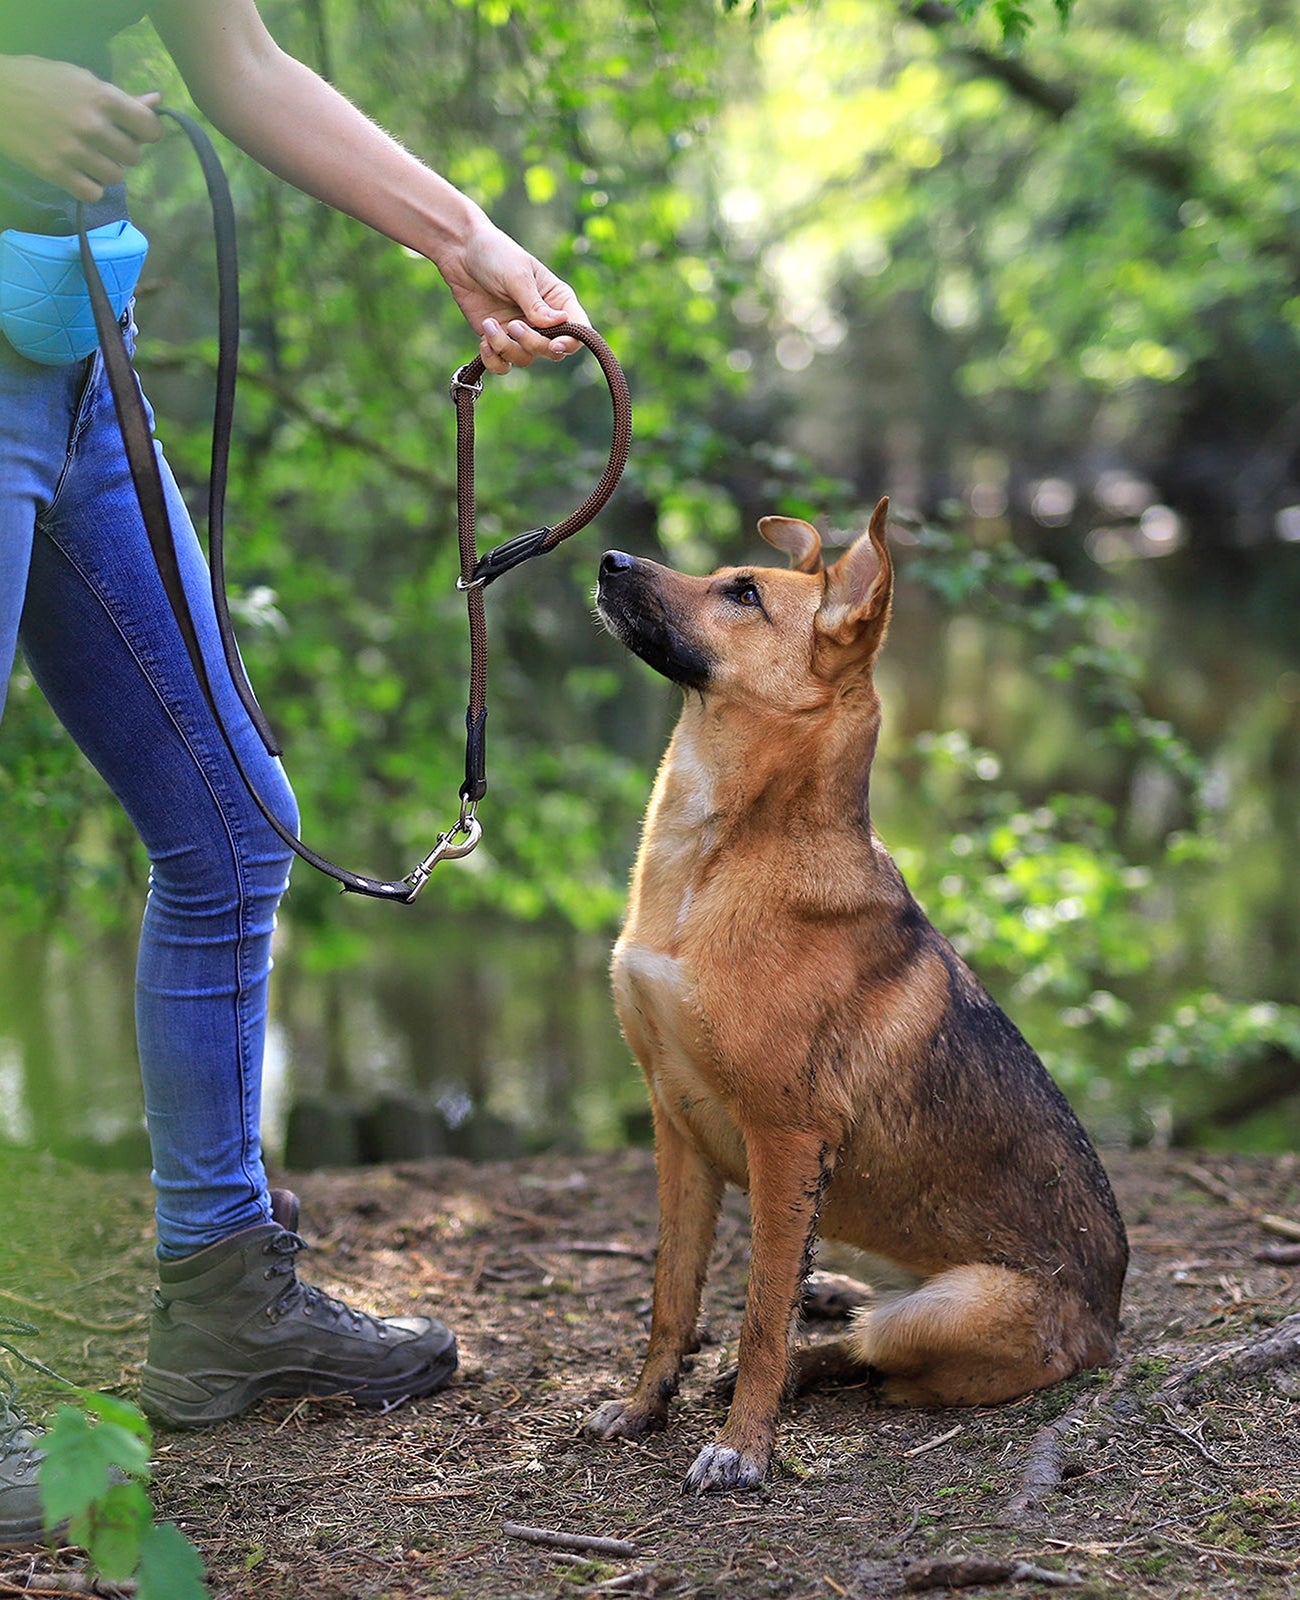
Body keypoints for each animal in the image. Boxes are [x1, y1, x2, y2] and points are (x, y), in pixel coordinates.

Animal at [589, 492, 1127, 1491]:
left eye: (744, 593)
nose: (606, 558)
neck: (718, 858)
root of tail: (1109, 1325)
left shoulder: (787, 1137)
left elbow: (759, 1317)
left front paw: (742, 1448)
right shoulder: (675, 1125)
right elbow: (670, 1300)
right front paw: (644, 1407)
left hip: (947, 1309)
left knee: (868, 1349)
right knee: (843, 1308)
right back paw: (826, 1301)